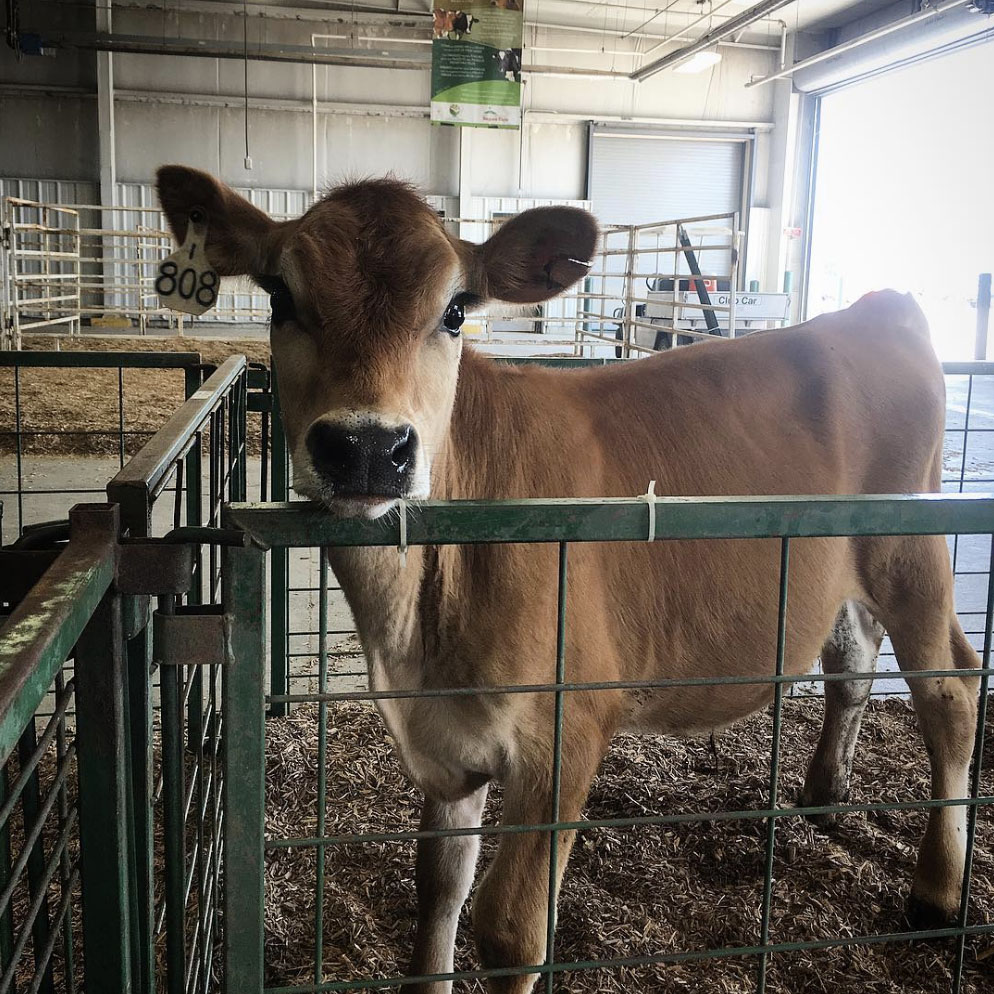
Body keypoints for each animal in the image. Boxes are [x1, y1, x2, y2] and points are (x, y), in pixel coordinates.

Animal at [156, 165, 981, 994]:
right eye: (279, 296)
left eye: (456, 309)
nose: (366, 447)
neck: (416, 637)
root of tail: (880, 308)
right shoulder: (446, 746)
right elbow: (438, 885)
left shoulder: (567, 731)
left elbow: (511, 932)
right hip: (840, 564)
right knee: (852, 660)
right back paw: (824, 793)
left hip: (911, 552)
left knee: (952, 689)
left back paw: (937, 890)